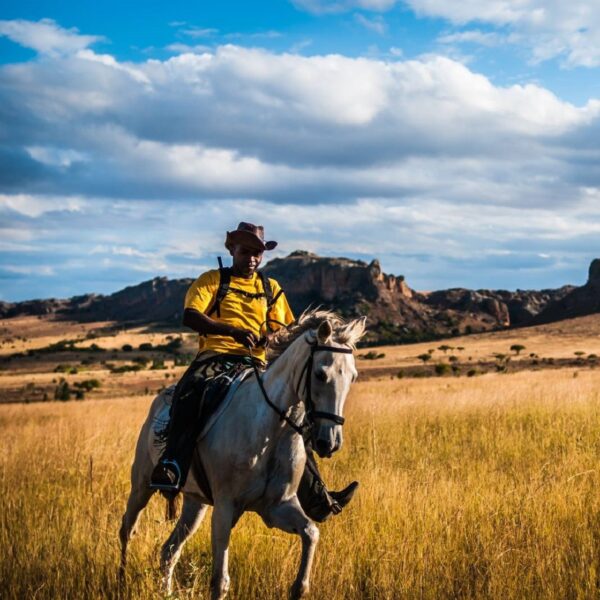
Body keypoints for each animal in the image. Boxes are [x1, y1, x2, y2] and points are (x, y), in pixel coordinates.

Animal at [119, 312, 364, 596]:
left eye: (353, 377)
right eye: (320, 374)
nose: (329, 442)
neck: (270, 429)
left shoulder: (276, 507)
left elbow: (311, 532)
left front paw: (298, 587)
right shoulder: (225, 508)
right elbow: (220, 581)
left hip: (195, 502)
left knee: (169, 551)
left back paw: (166, 592)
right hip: (141, 485)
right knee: (127, 529)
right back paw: (121, 580)